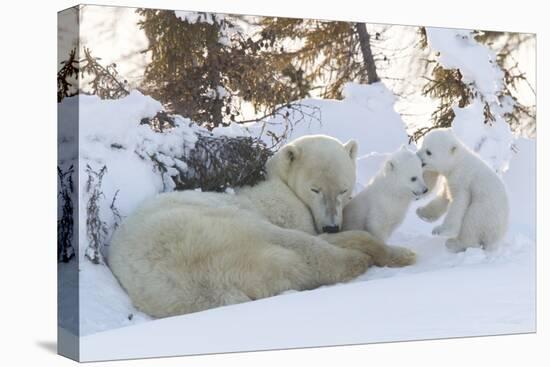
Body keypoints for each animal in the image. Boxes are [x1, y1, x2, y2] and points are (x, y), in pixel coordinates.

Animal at [110, 135, 416, 320]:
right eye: (315, 189)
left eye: (343, 188)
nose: (331, 226)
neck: (279, 182)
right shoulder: (285, 209)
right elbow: (309, 234)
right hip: (218, 226)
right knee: (303, 248)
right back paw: (377, 256)